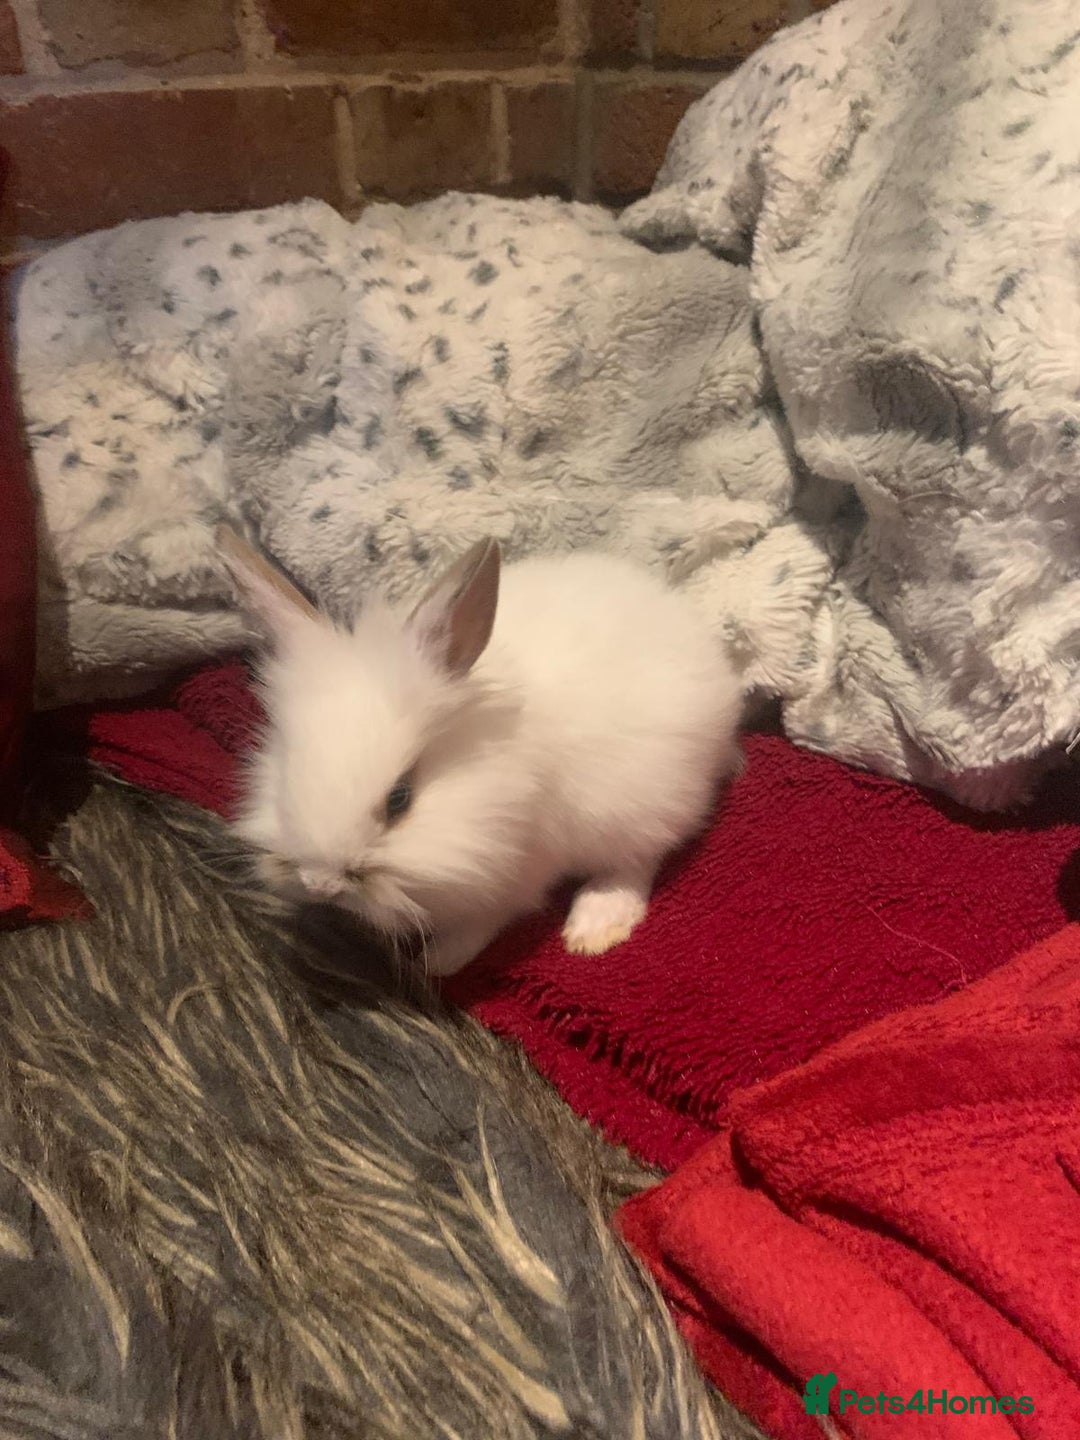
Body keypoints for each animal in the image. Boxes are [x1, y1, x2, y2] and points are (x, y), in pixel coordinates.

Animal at [221, 527, 744, 976]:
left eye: (400, 799)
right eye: (284, 780)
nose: (321, 885)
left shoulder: (522, 872)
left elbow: (486, 923)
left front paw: (436, 962)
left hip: (640, 803)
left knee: (641, 857)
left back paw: (596, 924)